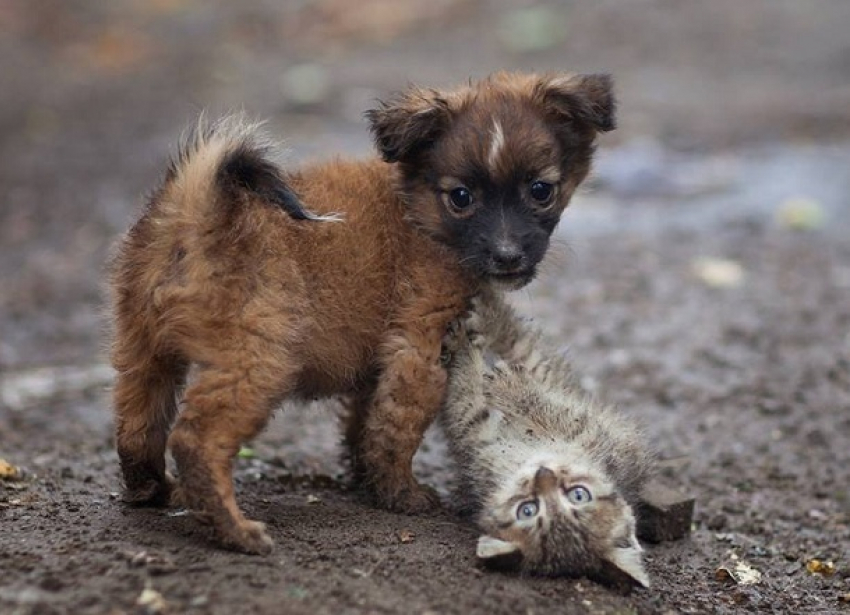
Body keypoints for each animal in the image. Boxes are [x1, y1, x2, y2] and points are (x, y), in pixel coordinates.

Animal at [111, 71, 616, 552]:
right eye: (461, 197)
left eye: (540, 190)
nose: (507, 256)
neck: (419, 213)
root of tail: (196, 213)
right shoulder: (419, 349)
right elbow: (398, 429)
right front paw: (402, 495)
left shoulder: (380, 363)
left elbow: (368, 424)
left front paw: (368, 483)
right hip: (257, 360)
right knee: (195, 440)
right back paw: (234, 530)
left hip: (142, 349)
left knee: (136, 426)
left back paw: (151, 490)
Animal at [440, 292, 652, 588]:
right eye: (579, 494)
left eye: (527, 510)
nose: (544, 475)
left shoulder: (476, 434)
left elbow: (473, 393)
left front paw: (468, 351)